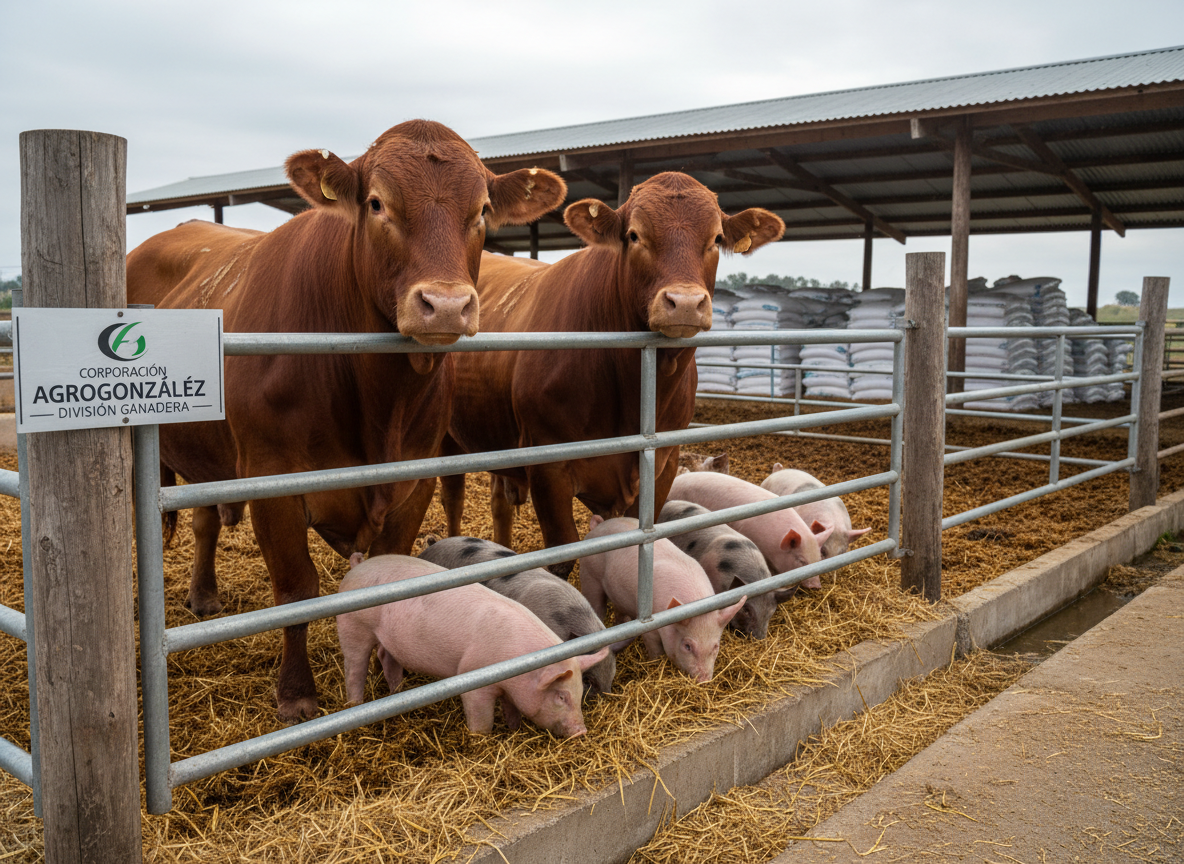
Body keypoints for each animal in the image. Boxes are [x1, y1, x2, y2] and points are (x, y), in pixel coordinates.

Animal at [126, 120, 566, 720]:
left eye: (481, 210)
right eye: (377, 203)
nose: (446, 305)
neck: (379, 405)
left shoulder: (414, 477)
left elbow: (387, 575)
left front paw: (390, 671)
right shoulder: (272, 479)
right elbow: (295, 590)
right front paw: (296, 695)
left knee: (205, 519)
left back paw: (205, 594)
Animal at [335, 554, 609, 738]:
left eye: (580, 691)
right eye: (561, 695)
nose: (581, 731)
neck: (520, 663)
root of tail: (358, 566)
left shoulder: (512, 689)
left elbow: (512, 710)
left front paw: (514, 729)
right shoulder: (473, 676)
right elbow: (481, 720)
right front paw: (481, 742)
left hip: (386, 638)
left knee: (386, 656)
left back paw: (398, 692)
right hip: (353, 626)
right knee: (354, 667)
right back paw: (355, 705)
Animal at [431, 172, 784, 575]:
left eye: (716, 239)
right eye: (634, 235)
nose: (685, 303)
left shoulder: (663, 463)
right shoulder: (547, 465)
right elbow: (562, 552)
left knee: (499, 500)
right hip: (449, 438)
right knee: (454, 496)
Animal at [578, 516, 747, 683]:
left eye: (715, 646)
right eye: (687, 646)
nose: (704, 680)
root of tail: (599, 526)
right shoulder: (650, 629)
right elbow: (655, 651)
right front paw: (656, 665)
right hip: (589, 576)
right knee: (597, 606)